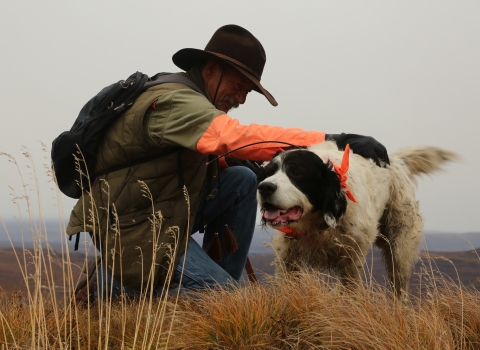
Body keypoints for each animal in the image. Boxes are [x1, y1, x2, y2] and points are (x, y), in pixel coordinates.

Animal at [258, 141, 458, 300]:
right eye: (269, 173)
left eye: (296, 172)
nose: (264, 187)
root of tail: (396, 162)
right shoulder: (286, 258)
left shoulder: (352, 259)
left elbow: (347, 290)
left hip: (400, 248)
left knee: (399, 290)